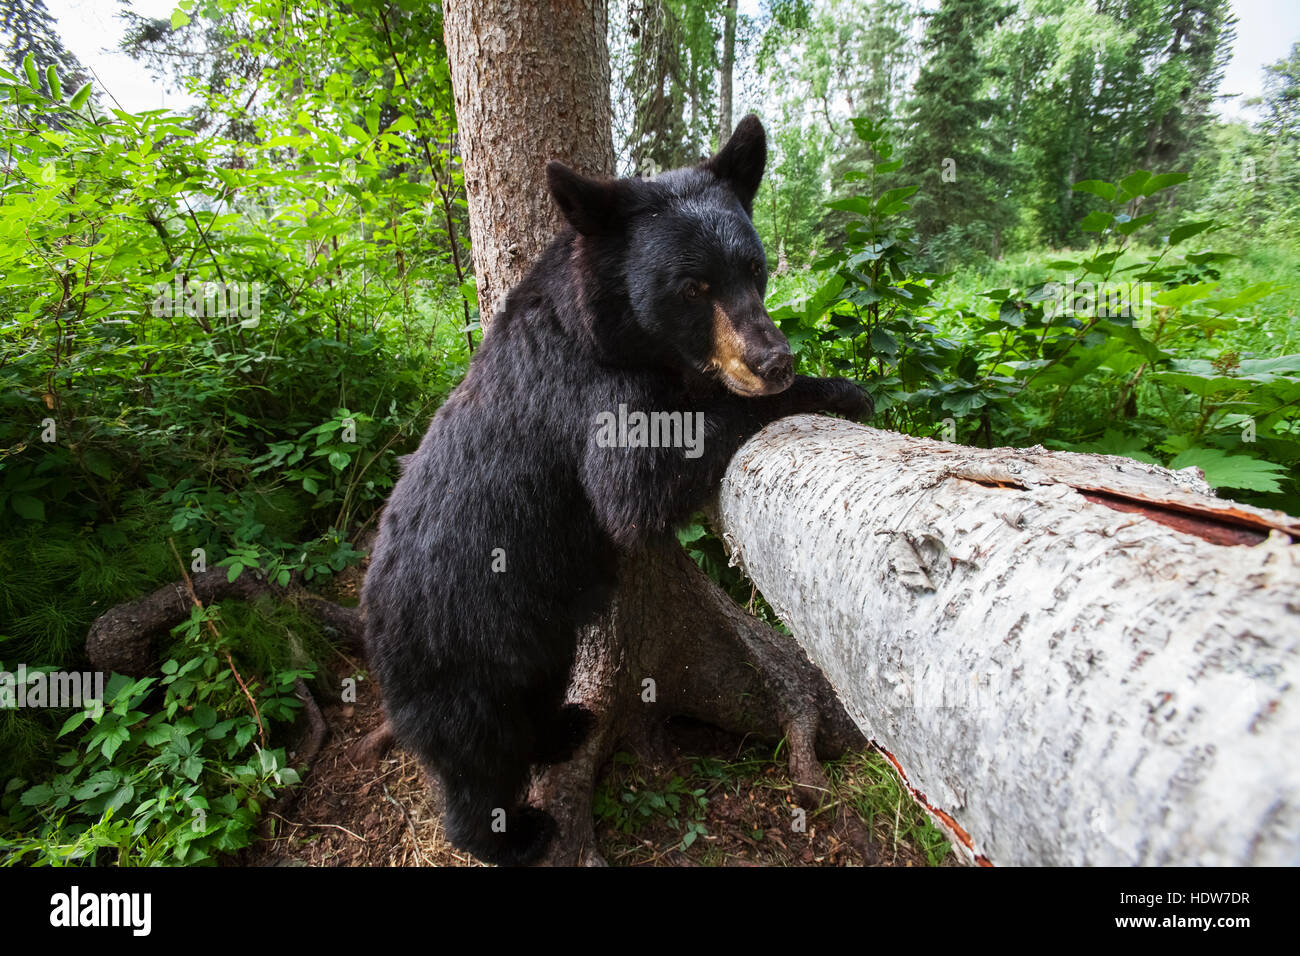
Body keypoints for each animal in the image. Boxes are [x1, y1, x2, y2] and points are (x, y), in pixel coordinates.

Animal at [364, 115, 873, 863]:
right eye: (692, 286)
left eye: (753, 269)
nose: (773, 361)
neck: (604, 321)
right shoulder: (588, 392)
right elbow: (635, 484)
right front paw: (839, 388)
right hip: (455, 657)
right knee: (475, 761)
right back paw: (510, 832)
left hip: (535, 640)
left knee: (537, 693)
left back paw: (566, 728)